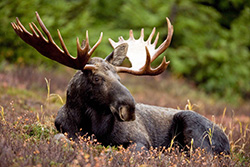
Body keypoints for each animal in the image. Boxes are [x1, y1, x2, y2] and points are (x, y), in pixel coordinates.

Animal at [12, 12, 230, 155]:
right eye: (97, 78)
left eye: (119, 79)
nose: (129, 108)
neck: (92, 126)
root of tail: (227, 142)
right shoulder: (65, 131)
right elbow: (59, 139)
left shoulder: (140, 141)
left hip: (195, 130)